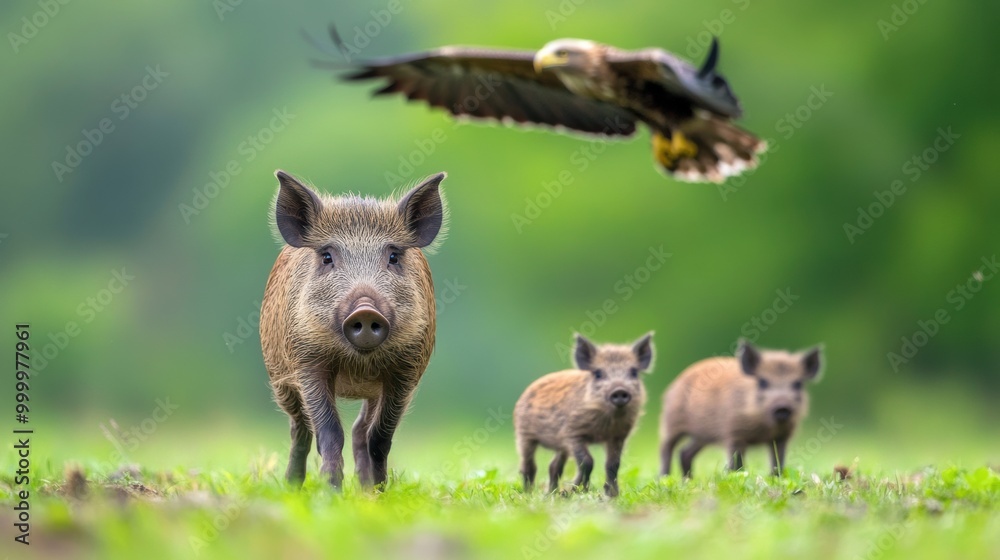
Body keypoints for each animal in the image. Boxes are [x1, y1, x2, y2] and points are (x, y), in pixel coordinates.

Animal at [260, 169, 447, 488]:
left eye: (394, 256)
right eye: (327, 256)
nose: (366, 310)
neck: (357, 363)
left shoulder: (405, 370)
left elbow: (380, 438)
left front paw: (381, 492)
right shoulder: (307, 362)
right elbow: (330, 432)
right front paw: (331, 491)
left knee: (360, 430)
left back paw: (364, 489)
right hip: (281, 380)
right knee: (300, 429)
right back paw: (292, 486)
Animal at [514, 333, 654, 497]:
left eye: (634, 372)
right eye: (598, 373)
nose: (619, 390)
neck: (606, 423)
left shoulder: (618, 436)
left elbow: (613, 464)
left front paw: (612, 494)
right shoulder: (572, 433)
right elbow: (587, 461)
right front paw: (579, 490)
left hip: (559, 447)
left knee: (553, 466)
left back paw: (551, 493)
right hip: (524, 435)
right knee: (528, 465)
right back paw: (529, 492)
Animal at [659, 340, 823, 477]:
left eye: (798, 384)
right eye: (762, 382)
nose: (782, 407)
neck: (764, 427)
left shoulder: (782, 437)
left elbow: (778, 463)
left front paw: (776, 478)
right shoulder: (734, 433)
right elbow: (737, 465)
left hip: (702, 436)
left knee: (684, 453)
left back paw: (688, 481)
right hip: (671, 423)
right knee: (666, 449)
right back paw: (664, 478)